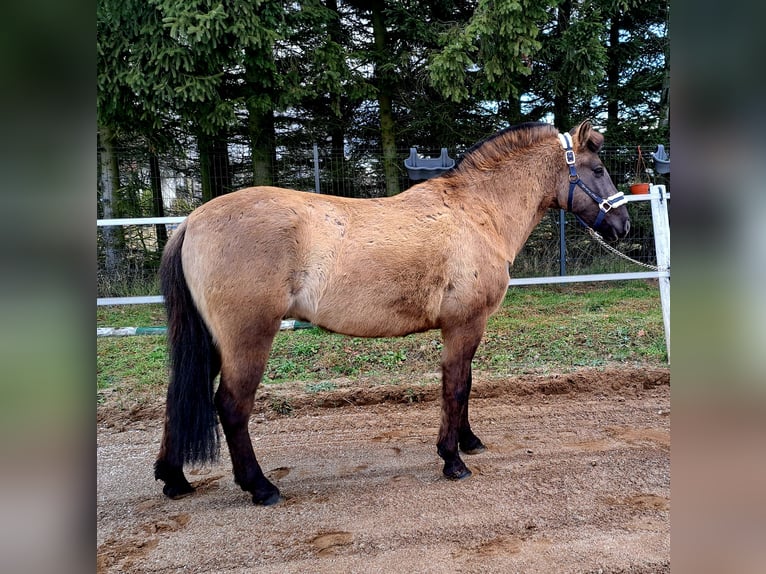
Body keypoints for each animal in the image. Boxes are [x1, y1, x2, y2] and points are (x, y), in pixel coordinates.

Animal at [154, 120, 630, 506]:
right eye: (598, 169)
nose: (623, 225)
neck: (477, 212)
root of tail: (191, 221)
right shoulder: (464, 325)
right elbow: (456, 387)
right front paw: (452, 460)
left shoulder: (465, 328)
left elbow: (466, 384)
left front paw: (468, 441)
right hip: (247, 338)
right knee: (232, 406)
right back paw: (261, 487)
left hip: (213, 342)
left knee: (180, 395)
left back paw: (174, 478)